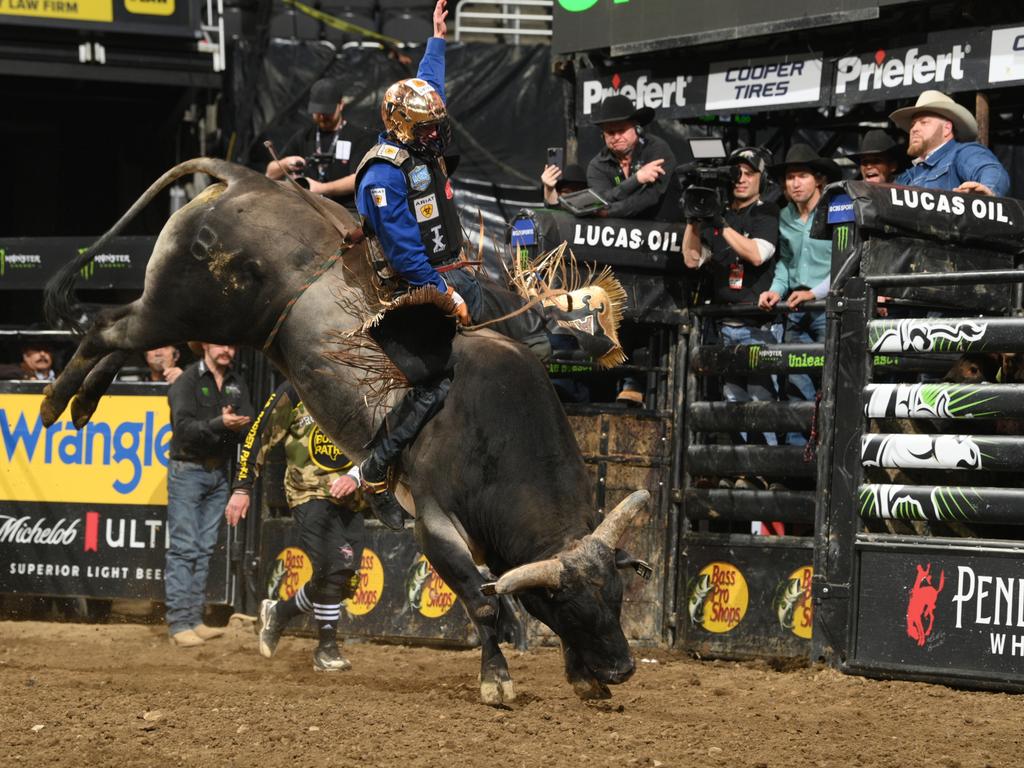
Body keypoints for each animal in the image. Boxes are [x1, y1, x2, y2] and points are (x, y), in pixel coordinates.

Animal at [39, 159, 651, 708]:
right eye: (571, 605)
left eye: (617, 597)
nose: (622, 668)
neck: (499, 436)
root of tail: (245, 179)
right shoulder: (434, 521)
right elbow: (482, 603)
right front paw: (496, 681)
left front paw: (584, 680)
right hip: (185, 307)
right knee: (105, 328)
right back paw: (53, 405)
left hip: (192, 317)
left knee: (119, 335)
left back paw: (82, 404)